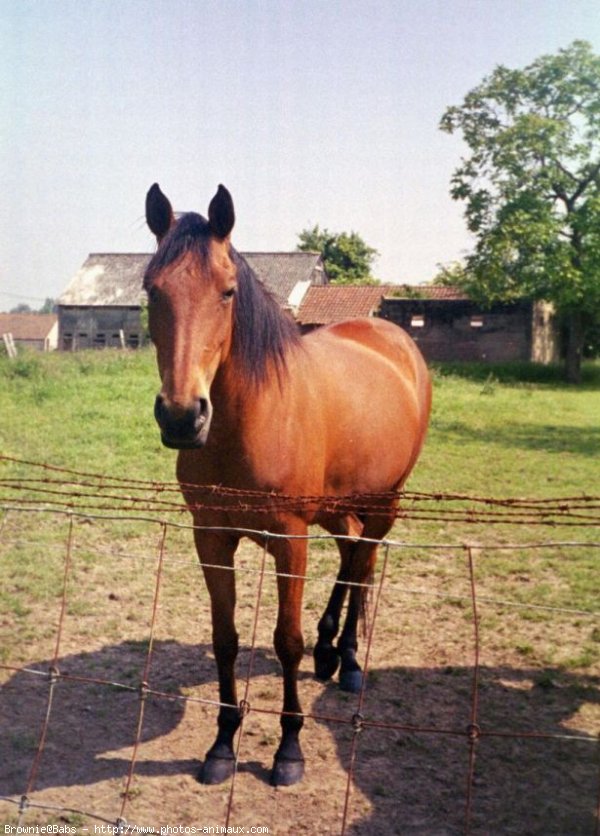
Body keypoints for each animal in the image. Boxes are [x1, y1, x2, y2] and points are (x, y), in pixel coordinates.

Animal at [143, 180, 428, 788]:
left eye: (228, 292)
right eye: (152, 290)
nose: (182, 416)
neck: (248, 422)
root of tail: (394, 337)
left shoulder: (290, 540)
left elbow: (285, 642)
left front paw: (289, 750)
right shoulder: (211, 537)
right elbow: (225, 640)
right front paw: (222, 743)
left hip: (384, 500)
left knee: (364, 559)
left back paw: (348, 661)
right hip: (341, 504)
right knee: (351, 554)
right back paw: (330, 648)